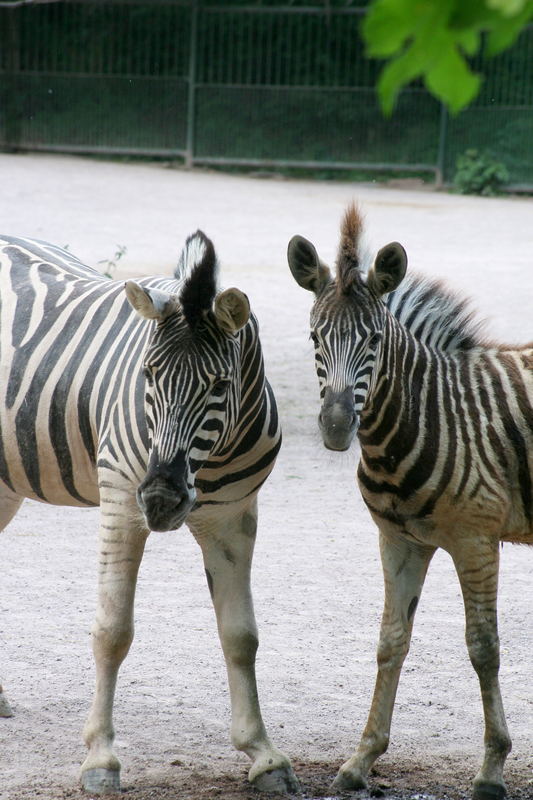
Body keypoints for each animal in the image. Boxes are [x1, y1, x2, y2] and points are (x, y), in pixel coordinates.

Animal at [0, 230, 298, 792]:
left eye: (220, 386)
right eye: (148, 374)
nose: (160, 499)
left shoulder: (233, 517)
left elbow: (241, 635)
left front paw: (263, 755)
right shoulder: (121, 499)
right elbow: (113, 631)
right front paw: (101, 758)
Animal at [286, 205, 532, 800]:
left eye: (374, 339)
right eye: (314, 336)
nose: (335, 428)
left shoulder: (476, 539)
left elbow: (483, 647)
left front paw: (491, 770)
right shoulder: (400, 540)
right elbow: (390, 641)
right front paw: (361, 760)